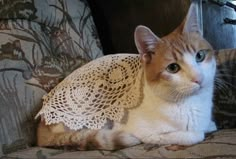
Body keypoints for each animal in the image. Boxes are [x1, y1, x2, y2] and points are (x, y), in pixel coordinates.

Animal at [36, 1, 216, 150]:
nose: (198, 78)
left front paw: (210, 124)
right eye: (173, 68)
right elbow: (193, 136)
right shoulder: (146, 133)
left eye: (200, 56)